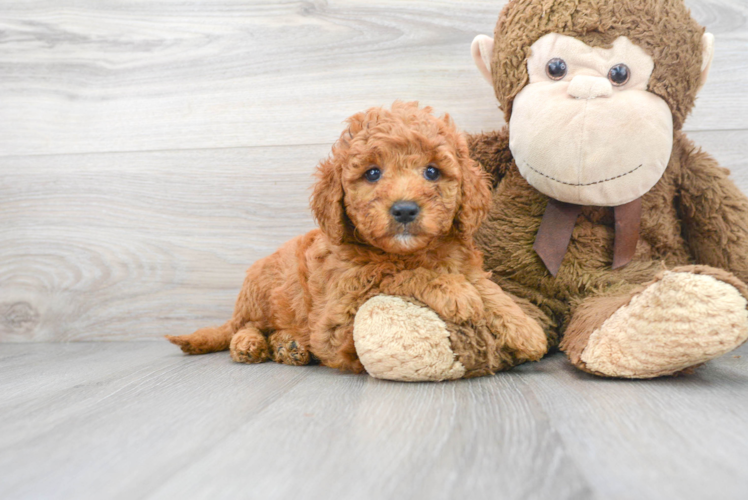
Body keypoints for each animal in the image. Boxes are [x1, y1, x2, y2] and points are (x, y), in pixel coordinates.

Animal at [167, 101, 548, 372]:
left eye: (432, 172)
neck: (412, 251)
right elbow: (397, 274)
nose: (405, 210)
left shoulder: (465, 264)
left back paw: (289, 346)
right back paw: (249, 344)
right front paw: (454, 291)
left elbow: (488, 288)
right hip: (260, 289)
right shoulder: (337, 318)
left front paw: (525, 329)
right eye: (372, 173)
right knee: (243, 326)